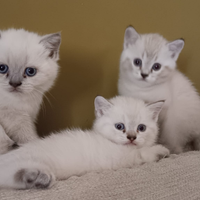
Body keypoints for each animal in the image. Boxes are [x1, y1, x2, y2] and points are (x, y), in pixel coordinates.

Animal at [0, 95, 169, 189]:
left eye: (141, 128)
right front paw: (161, 150)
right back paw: (36, 177)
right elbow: (141, 154)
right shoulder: (119, 158)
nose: (132, 137)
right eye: (120, 126)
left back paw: (35, 179)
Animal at [118, 25, 200, 153]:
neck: (141, 90)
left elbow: (157, 131)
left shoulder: (162, 112)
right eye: (137, 62)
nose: (144, 74)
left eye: (156, 67)